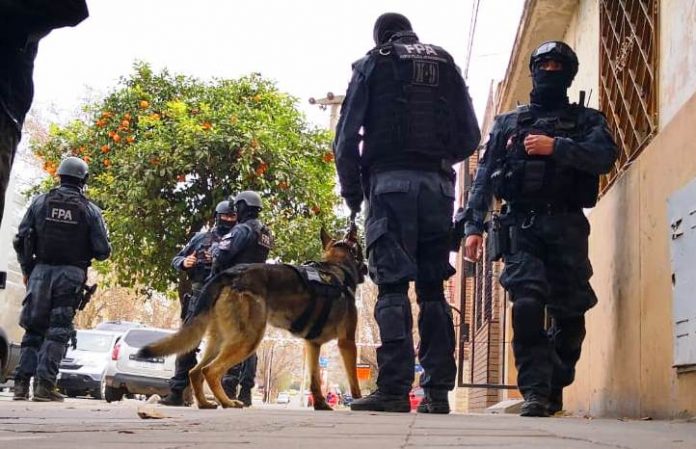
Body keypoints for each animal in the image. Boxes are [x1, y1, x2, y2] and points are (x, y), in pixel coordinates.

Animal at [138, 228, 367, 410]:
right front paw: (358, 400)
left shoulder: (312, 345)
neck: (338, 269)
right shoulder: (347, 342)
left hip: (221, 339)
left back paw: (205, 403)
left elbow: (315, 380)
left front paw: (320, 404)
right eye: (361, 251)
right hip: (248, 339)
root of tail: (231, 274)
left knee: (195, 371)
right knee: (210, 370)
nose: (366, 268)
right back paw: (227, 402)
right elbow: (353, 380)